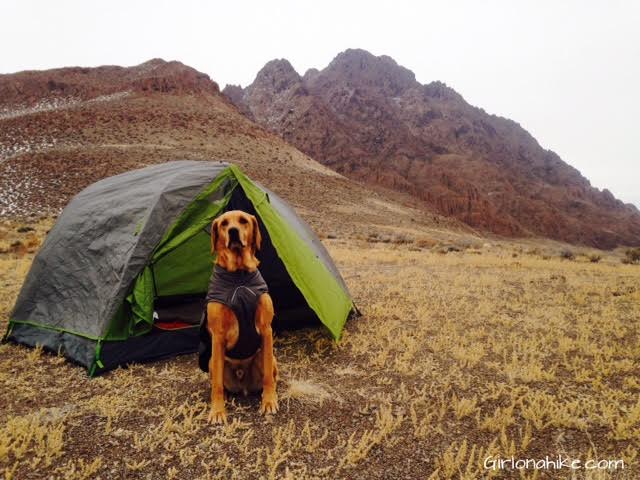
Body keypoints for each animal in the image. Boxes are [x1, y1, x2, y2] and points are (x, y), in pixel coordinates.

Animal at [202, 210, 278, 424]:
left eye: (243, 221)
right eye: (224, 224)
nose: (233, 232)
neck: (238, 277)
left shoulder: (266, 330)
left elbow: (268, 377)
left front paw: (269, 401)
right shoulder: (217, 336)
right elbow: (217, 385)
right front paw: (217, 411)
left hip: (270, 357)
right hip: (212, 361)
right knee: (218, 382)